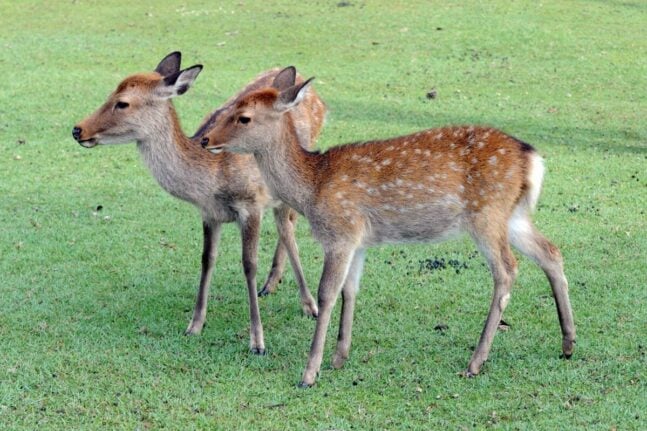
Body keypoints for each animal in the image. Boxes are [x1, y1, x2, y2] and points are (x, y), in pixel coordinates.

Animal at [73, 54, 326, 356]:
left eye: (122, 102)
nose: (77, 129)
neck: (212, 179)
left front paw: (257, 342)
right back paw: (272, 285)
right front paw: (194, 325)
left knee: (288, 228)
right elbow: (207, 260)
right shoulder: (209, 214)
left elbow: (248, 264)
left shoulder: (251, 204)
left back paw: (307, 304)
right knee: (285, 228)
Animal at [201, 72, 576, 386]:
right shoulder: (359, 241)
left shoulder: (340, 232)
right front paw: (339, 358)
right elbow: (351, 291)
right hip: (514, 216)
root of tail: (531, 159)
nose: (205, 139)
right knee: (551, 252)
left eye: (244, 117)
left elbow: (327, 294)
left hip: (487, 214)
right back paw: (568, 343)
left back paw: (475, 362)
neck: (312, 186)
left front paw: (309, 373)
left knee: (507, 270)